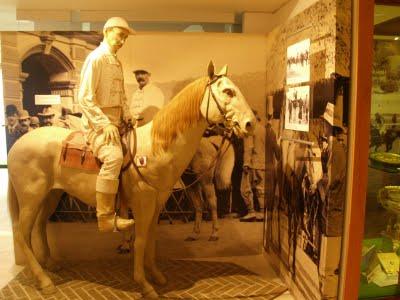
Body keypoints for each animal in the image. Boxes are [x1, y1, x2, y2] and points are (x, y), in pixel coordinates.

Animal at [6, 62, 255, 298]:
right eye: (228, 91)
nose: (250, 124)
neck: (156, 148)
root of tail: (16, 146)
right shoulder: (143, 205)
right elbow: (141, 240)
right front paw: (144, 284)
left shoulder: (157, 205)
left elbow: (151, 240)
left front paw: (157, 276)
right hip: (31, 198)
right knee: (21, 234)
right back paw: (44, 281)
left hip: (51, 195)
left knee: (39, 227)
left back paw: (50, 265)